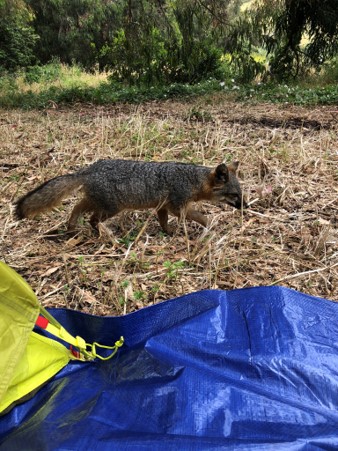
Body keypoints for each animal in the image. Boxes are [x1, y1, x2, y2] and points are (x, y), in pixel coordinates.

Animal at [14, 159, 247, 235]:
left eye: (241, 194)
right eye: (234, 195)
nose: (245, 206)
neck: (192, 179)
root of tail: (90, 169)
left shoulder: (162, 207)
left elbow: (163, 221)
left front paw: (168, 232)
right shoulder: (177, 206)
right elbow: (199, 216)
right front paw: (207, 225)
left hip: (95, 202)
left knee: (76, 208)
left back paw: (72, 228)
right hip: (110, 208)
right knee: (92, 218)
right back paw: (103, 234)